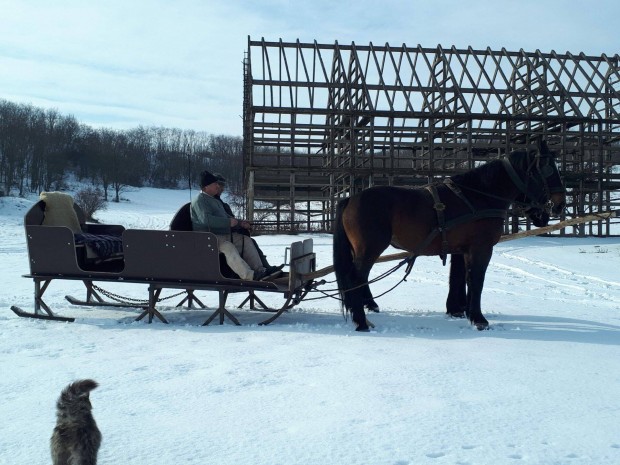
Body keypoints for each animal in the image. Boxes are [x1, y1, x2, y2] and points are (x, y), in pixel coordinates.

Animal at [334, 140, 568, 330]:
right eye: (548, 170)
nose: (560, 204)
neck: (479, 196)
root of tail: (351, 198)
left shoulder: (463, 249)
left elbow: (462, 278)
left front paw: (462, 311)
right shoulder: (481, 248)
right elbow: (476, 280)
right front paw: (478, 319)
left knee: (360, 279)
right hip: (370, 248)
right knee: (355, 278)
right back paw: (361, 322)